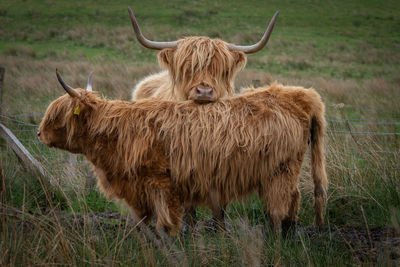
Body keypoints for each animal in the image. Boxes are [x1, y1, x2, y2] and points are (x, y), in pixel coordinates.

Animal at [38, 70, 328, 237]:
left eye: (55, 114)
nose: (39, 133)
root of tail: (300, 94)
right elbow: (144, 222)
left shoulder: (160, 183)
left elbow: (165, 223)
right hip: (284, 170)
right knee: (294, 199)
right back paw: (288, 234)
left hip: (280, 170)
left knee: (279, 206)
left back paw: (276, 240)